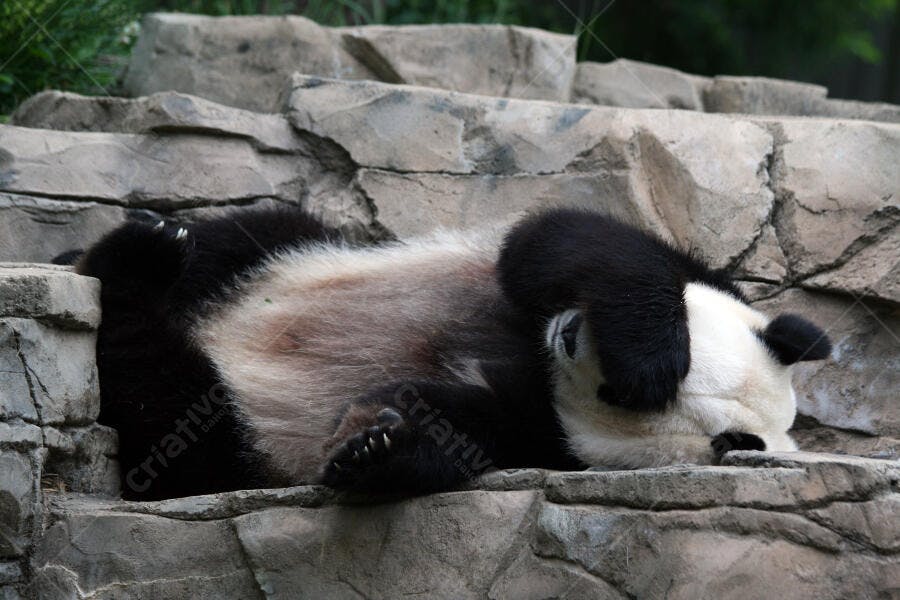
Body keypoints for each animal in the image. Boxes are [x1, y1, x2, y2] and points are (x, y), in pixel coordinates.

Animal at [75, 206, 832, 500]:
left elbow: (457, 427)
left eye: (610, 394)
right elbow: (568, 244)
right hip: (287, 256)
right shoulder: (682, 270)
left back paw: (134, 279)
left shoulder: (549, 440)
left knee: (171, 411)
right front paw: (651, 353)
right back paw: (145, 247)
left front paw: (373, 444)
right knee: (239, 239)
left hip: (222, 437)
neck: (543, 366)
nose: (569, 333)